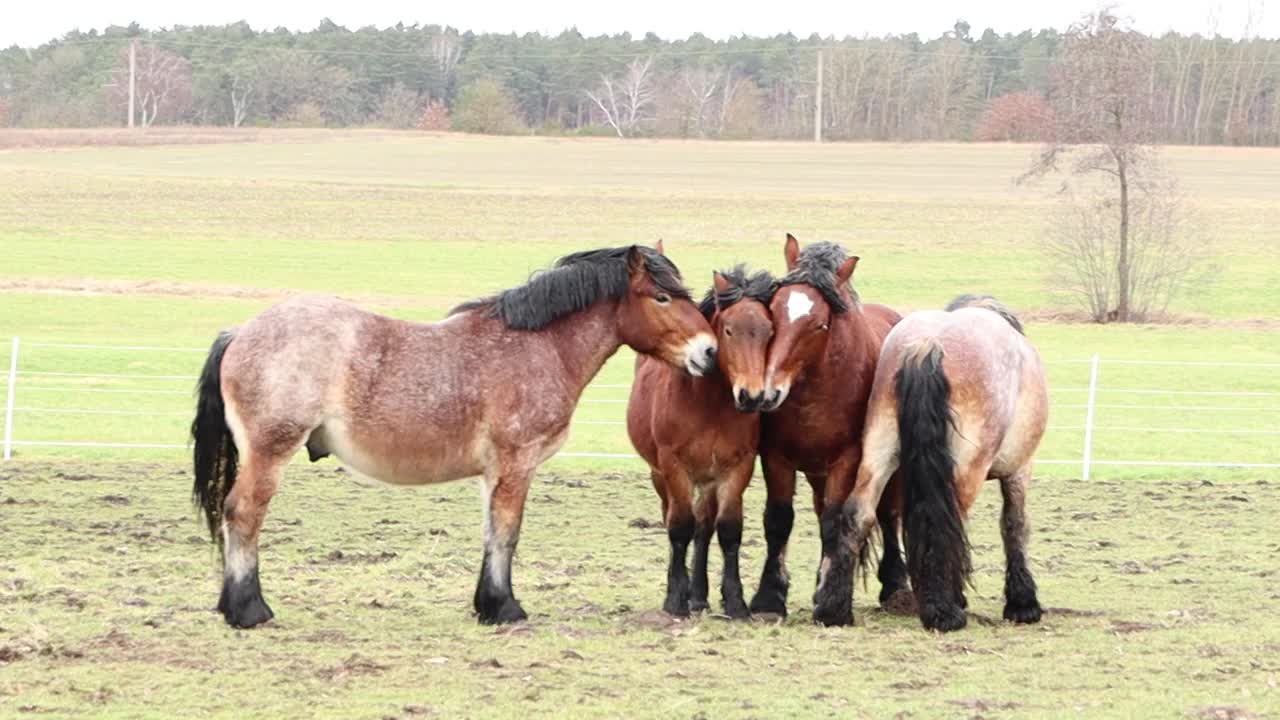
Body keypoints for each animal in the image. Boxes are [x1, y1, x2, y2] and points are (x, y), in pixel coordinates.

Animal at [186, 243, 721, 625]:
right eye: (662, 297)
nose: (710, 351)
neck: (537, 346)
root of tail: (240, 333)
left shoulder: (493, 473)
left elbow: (491, 533)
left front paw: (487, 603)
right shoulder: (516, 464)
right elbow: (507, 533)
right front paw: (505, 609)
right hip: (270, 452)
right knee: (244, 514)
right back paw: (249, 611)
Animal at [624, 265, 773, 617]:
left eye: (769, 331)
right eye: (729, 330)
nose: (751, 396)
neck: (709, 404)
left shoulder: (738, 467)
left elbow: (728, 529)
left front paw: (735, 602)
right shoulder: (674, 467)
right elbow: (679, 527)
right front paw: (675, 599)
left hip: (707, 481)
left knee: (703, 527)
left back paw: (700, 594)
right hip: (661, 476)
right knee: (675, 519)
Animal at [747, 234, 911, 622]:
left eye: (820, 325)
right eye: (773, 311)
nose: (769, 392)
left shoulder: (847, 460)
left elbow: (836, 523)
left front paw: (832, 601)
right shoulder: (775, 457)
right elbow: (779, 520)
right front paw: (769, 599)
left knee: (888, 514)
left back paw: (895, 584)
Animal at [829, 292, 1049, 627]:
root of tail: (928, 345)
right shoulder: (1019, 471)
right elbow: (1015, 524)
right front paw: (1023, 603)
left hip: (878, 450)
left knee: (859, 513)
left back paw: (833, 608)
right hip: (967, 470)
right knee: (948, 522)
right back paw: (944, 610)